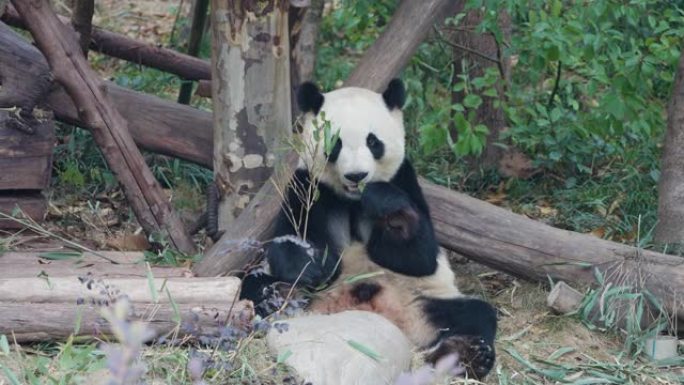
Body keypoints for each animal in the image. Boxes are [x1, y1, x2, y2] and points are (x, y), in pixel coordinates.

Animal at [240, 79, 496, 380]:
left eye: (373, 142)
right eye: (335, 143)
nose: (357, 176)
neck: (351, 199)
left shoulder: (404, 179)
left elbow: (419, 256)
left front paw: (386, 206)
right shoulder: (307, 187)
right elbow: (298, 240)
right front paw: (309, 266)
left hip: (422, 302)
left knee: (475, 315)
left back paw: (467, 355)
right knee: (252, 286)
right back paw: (277, 296)